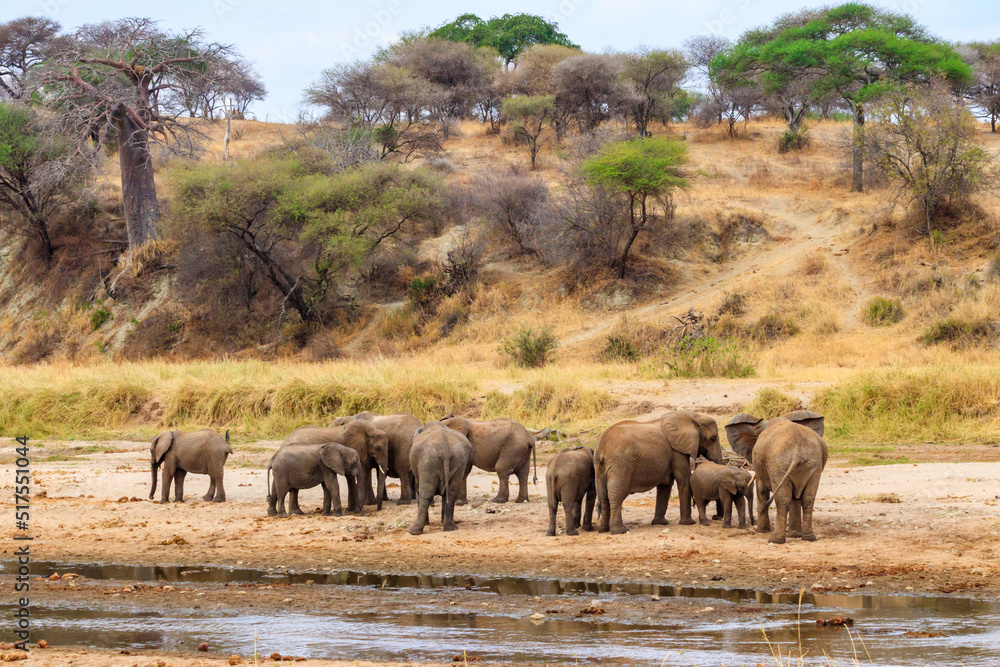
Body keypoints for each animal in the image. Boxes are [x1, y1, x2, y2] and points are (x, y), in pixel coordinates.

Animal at [595, 411, 724, 534]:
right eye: (713, 438)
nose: (715, 517)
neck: (694, 416)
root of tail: (601, 448)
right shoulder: (677, 450)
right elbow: (683, 479)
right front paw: (688, 523)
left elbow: (665, 485)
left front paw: (660, 523)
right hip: (620, 464)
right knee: (616, 495)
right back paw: (620, 531)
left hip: (599, 467)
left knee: (603, 496)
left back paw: (603, 530)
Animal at [725, 410, 828, 544]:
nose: (752, 524)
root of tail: (798, 453)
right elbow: (795, 497)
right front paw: (794, 535)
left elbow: (761, 491)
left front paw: (761, 531)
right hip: (814, 465)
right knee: (807, 499)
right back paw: (809, 538)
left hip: (778, 465)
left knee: (782, 500)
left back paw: (775, 540)